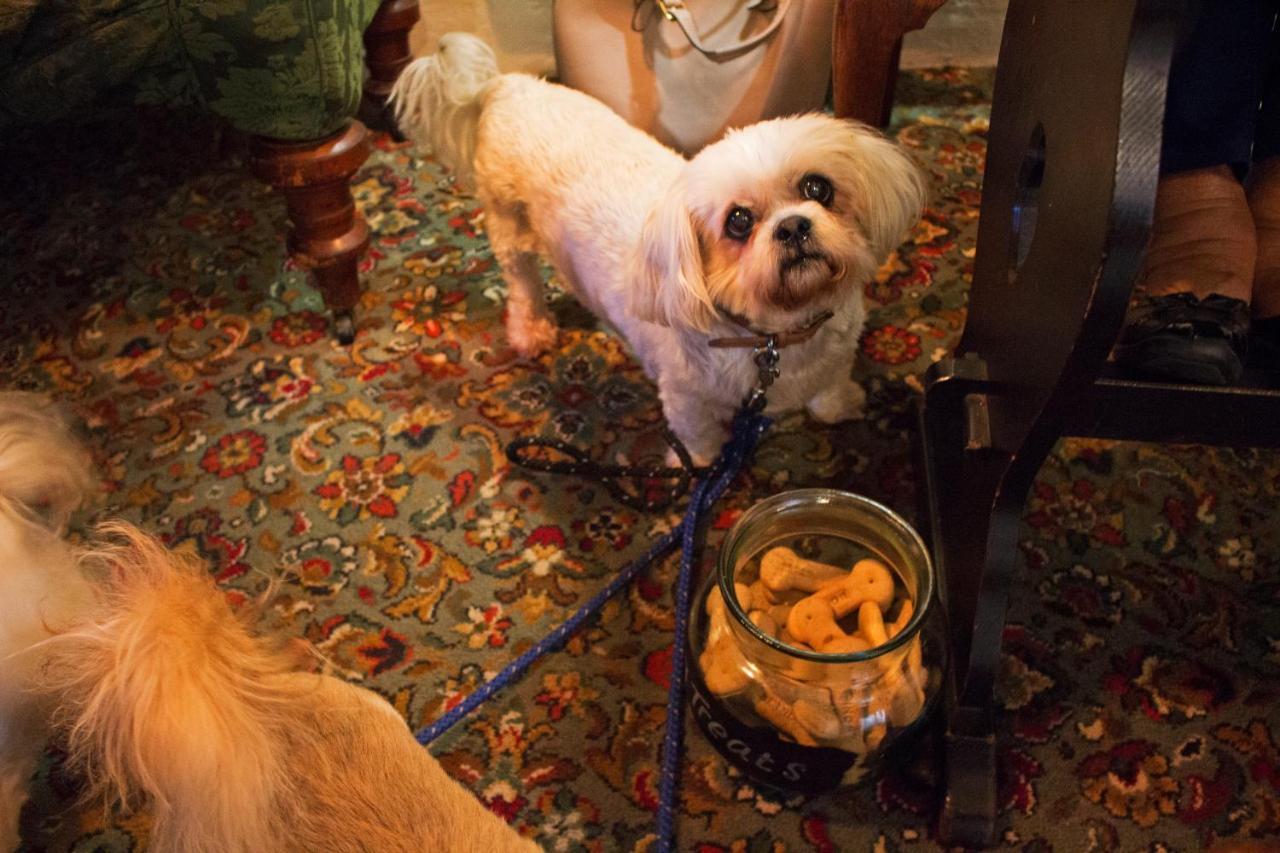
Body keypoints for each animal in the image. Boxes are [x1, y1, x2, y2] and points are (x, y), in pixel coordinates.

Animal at [389, 34, 921, 458]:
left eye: (817, 188)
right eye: (738, 222)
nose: (792, 227)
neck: (775, 339)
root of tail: (505, 86)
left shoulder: (836, 352)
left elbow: (831, 387)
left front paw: (842, 405)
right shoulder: (686, 399)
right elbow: (699, 441)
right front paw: (700, 466)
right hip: (508, 225)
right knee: (521, 282)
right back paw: (531, 330)